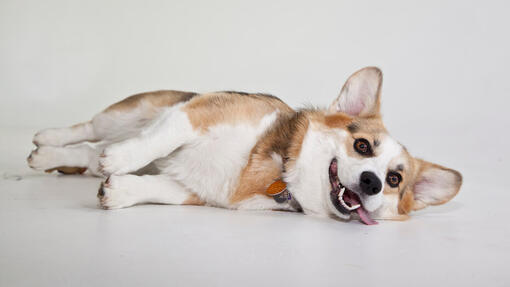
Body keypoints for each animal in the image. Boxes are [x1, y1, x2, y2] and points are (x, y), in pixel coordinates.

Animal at [26, 67, 462, 225]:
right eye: (363, 146)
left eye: (394, 180)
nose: (372, 182)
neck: (281, 167)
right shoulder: (192, 113)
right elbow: (157, 141)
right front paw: (120, 160)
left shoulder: (197, 190)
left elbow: (158, 189)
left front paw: (119, 190)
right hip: (130, 113)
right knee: (88, 129)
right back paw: (46, 138)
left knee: (84, 154)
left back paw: (49, 156)